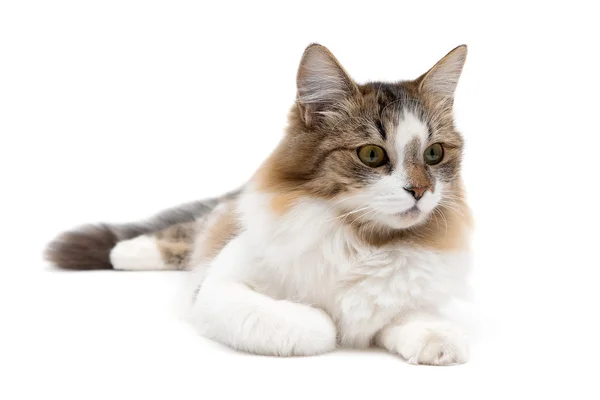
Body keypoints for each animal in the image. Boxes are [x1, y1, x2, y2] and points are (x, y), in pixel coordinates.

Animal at [47, 43, 474, 366]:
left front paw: (439, 341)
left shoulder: (405, 298)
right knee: (178, 235)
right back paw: (125, 251)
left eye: (434, 154)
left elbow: (412, 318)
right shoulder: (218, 287)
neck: (363, 241)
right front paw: (328, 323)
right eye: (371, 155)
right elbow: (317, 325)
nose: (420, 190)